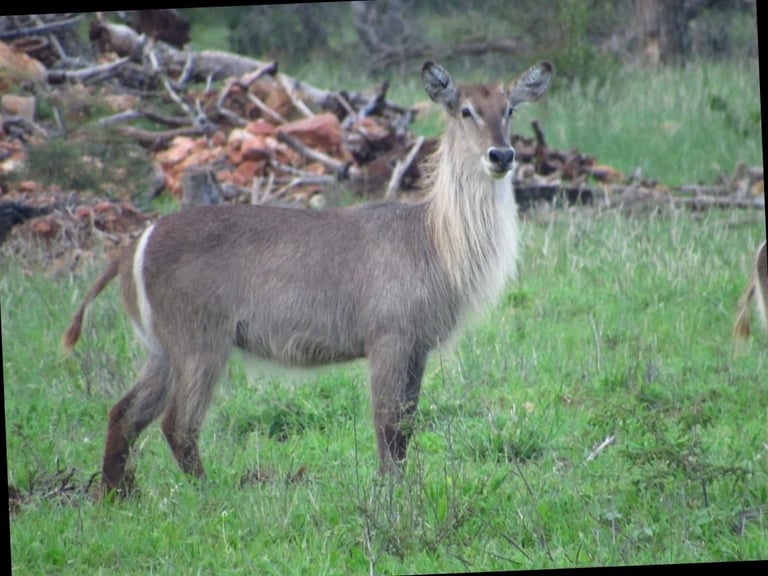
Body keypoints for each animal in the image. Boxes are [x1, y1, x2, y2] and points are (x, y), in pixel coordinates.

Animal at [62, 60, 553, 495]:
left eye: (510, 109)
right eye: (465, 110)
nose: (502, 155)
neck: (434, 239)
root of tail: (134, 243)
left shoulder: (417, 347)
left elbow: (406, 424)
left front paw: (402, 486)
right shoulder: (389, 339)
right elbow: (387, 424)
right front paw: (389, 493)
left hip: (163, 350)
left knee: (123, 414)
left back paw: (118, 495)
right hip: (201, 344)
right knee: (177, 424)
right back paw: (209, 493)